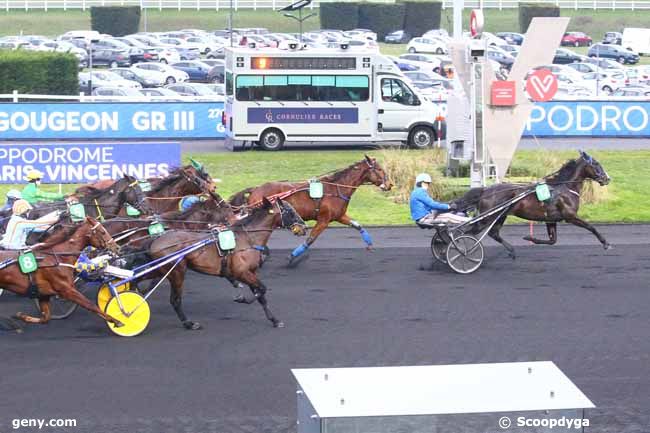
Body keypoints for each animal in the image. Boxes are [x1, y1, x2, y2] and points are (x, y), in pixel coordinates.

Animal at [142, 197, 306, 330]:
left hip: (162, 270)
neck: (247, 239)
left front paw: (275, 320)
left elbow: (261, 295)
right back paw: (189, 323)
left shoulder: (252, 272)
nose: (304, 227)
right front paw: (242, 298)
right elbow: (262, 289)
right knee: (175, 300)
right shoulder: (241, 272)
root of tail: (155, 241)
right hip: (177, 272)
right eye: (290, 211)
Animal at [228, 154, 390, 264]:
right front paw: (293, 256)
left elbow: (357, 225)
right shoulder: (324, 219)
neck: (336, 188)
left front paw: (369, 244)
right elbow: (311, 239)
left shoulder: (339, 216)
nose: (390, 185)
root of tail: (255, 189)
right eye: (379, 169)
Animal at [454, 150, 612, 258]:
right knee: (465, 232)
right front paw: (605, 243)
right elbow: (591, 227)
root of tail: (485, 190)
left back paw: (511, 251)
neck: (565, 187)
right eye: (596, 164)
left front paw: (530, 238)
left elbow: (552, 240)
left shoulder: (551, 219)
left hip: (499, 216)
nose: (607, 178)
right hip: (487, 217)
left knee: (493, 233)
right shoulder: (570, 216)